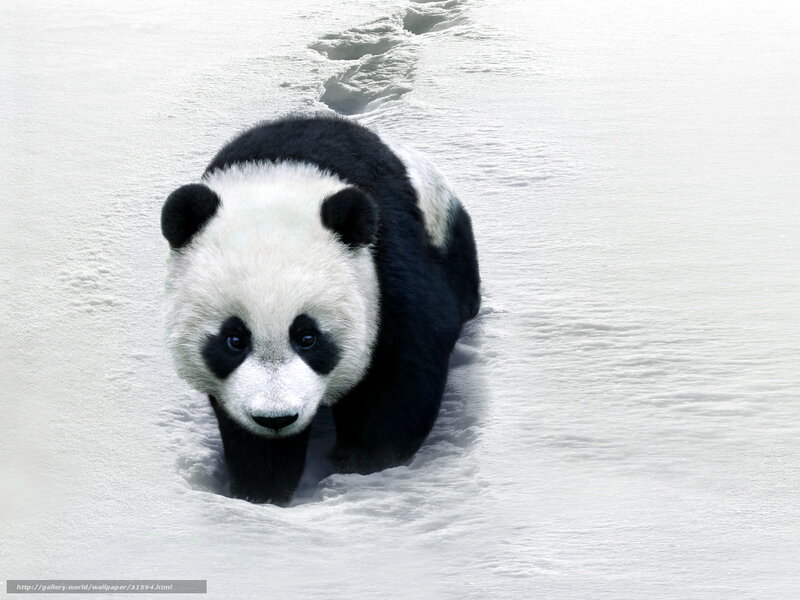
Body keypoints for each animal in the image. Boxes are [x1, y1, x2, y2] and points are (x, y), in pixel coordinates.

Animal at [161, 115, 480, 504]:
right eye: (234, 340)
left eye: (308, 337)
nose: (276, 418)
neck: (279, 174)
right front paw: (260, 487)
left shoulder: (385, 261)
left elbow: (403, 365)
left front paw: (363, 463)